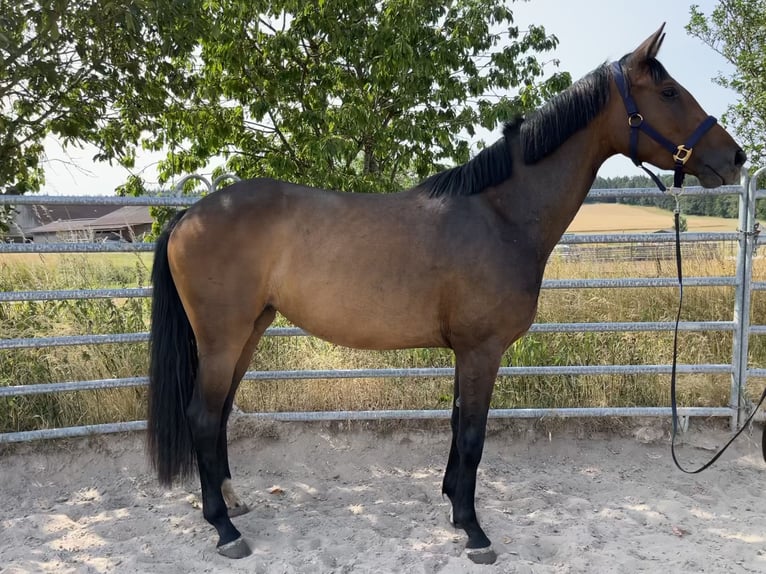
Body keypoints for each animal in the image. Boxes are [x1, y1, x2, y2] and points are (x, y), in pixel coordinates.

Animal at [147, 24, 748, 564]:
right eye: (669, 92)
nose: (736, 158)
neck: (501, 214)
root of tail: (187, 216)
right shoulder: (483, 350)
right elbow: (475, 435)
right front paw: (474, 531)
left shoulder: (467, 351)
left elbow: (459, 426)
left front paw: (453, 508)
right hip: (223, 337)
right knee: (203, 415)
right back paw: (224, 530)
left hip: (251, 329)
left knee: (221, 412)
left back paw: (232, 503)